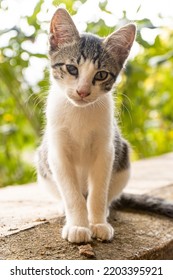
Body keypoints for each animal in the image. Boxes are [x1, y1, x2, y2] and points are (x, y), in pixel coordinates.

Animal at [36, 8, 137, 243]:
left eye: (101, 75)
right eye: (72, 69)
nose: (82, 92)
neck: (79, 113)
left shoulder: (106, 149)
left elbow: (98, 191)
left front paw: (98, 223)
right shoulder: (57, 152)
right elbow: (72, 194)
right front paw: (78, 226)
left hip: (123, 158)